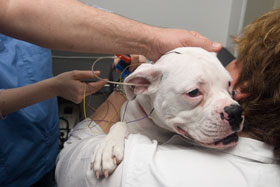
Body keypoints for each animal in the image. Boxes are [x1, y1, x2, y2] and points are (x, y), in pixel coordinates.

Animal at [91, 47, 243, 178]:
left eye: (229, 84)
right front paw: (108, 146)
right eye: (193, 92)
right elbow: (119, 125)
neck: (161, 129)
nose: (235, 112)